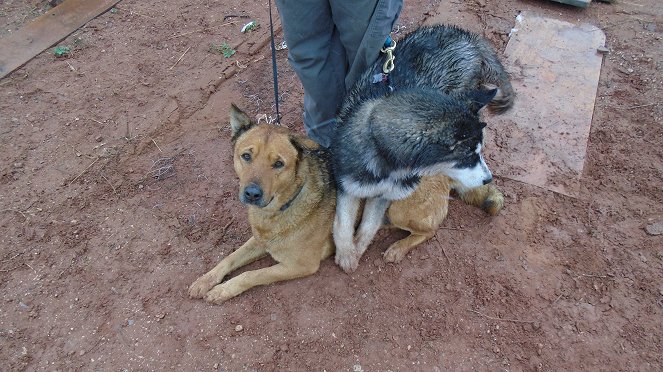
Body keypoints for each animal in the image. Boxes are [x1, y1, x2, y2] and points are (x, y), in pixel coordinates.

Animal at [188, 103, 504, 304]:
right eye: (246, 156)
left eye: (278, 164)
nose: (252, 194)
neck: (282, 206)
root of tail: (442, 168)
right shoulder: (259, 240)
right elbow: (229, 258)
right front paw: (206, 281)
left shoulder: (300, 265)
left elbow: (251, 275)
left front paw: (223, 290)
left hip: (399, 208)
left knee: (429, 231)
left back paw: (398, 248)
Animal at [330, 24, 512, 272]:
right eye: (466, 157)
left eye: (476, 153)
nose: (488, 179)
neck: (384, 156)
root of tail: (466, 36)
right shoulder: (348, 185)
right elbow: (343, 224)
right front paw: (347, 253)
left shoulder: (385, 195)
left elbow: (368, 225)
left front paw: (357, 248)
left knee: (427, 230)